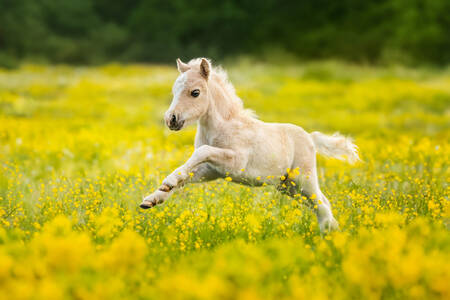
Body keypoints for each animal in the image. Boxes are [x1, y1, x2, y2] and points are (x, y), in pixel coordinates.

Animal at [141, 58, 358, 232]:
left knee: (323, 205)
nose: (171, 119)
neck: (223, 126)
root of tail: (311, 138)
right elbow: (186, 175)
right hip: (289, 187)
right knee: (320, 206)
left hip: (304, 179)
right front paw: (154, 198)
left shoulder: (235, 162)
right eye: (174, 91)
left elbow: (202, 151)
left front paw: (168, 182)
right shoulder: (212, 170)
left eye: (195, 92)